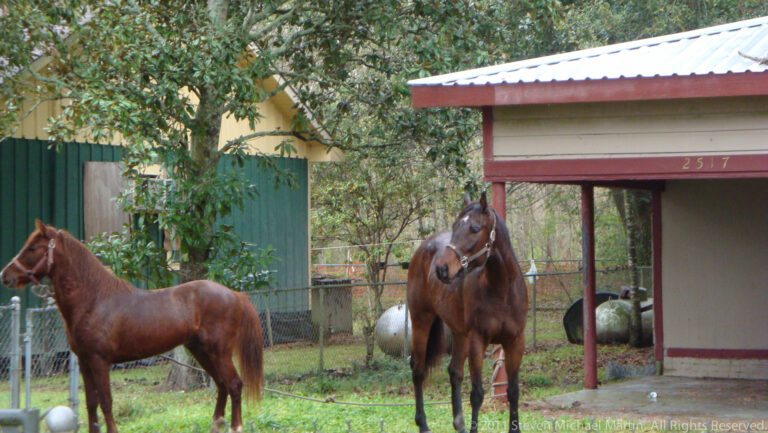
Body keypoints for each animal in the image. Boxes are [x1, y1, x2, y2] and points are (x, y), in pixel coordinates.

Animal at [0, 220, 263, 433]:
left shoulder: (99, 360)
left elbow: (106, 401)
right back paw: (216, 424)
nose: (5, 275)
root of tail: (234, 294)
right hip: (200, 350)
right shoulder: (84, 361)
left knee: (234, 384)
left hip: (218, 351)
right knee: (221, 384)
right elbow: (91, 403)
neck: (95, 299)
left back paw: (236, 426)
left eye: (33, 248)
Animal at [407, 192, 528, 433]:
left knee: (454, 372)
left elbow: (513, 391)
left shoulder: (515, 341)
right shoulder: (477, 341)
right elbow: (477, 395)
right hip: (421, 321)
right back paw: (423, 424)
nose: (442, 269)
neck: (501, 291)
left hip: (459, 333)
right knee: (418, 369)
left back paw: (459, 424)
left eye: (474, 228)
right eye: (455, 225)